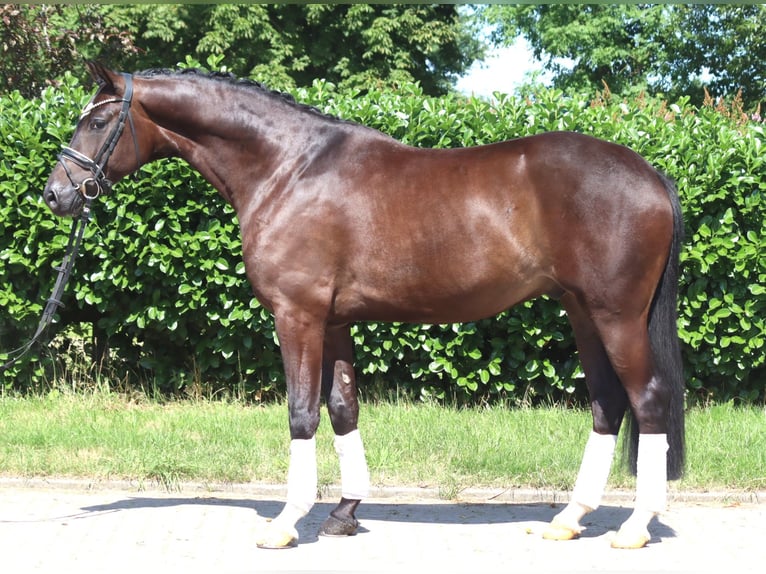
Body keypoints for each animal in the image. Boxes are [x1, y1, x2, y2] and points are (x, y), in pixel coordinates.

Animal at [43, 62, 685, 550]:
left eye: (97, 120)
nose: (56, 195)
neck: (288, 168)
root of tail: (651, 173)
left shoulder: (297, 315)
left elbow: (302, 412)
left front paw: (285, 523)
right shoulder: (334, 322)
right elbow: (343, 407)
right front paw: (344, 513)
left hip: (616, 317)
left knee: (647, 400)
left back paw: (633, 528)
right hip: (582, 312)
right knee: (607, 404)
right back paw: (569, 519)